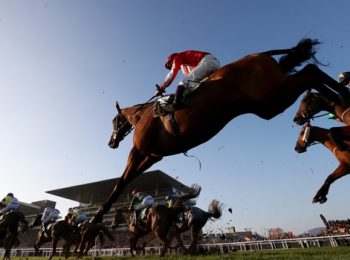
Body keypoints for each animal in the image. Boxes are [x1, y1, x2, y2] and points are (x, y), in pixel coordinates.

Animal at [91, 38, 348, 223]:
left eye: (114, 121)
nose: (111, 143)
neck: (143, 116)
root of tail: (261, 54)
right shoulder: (152, 156)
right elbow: (127, 179)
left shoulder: (138, 151)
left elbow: (120, 182)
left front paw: (98, 216)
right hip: (271, 100)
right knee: (310, 72)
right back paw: (341, 100)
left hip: (273, 98)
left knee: (311, 72)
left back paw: (341, 99)